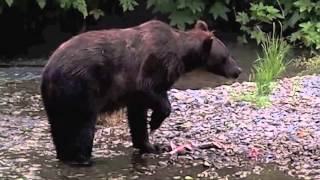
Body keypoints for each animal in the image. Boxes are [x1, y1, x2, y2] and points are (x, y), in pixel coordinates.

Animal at [40, 19, 241, 166]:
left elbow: (137, 115)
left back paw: (66, 155)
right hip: (82, 87)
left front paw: (152, 145)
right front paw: (155, 122)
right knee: (83, 125)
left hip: (57, 99)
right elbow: (149, 89)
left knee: (60, 126)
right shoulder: (154, 65)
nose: (238, 70)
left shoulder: (134, 93)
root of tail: (49, 70)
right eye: (227, 56)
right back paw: (84, 159)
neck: (181, 54)